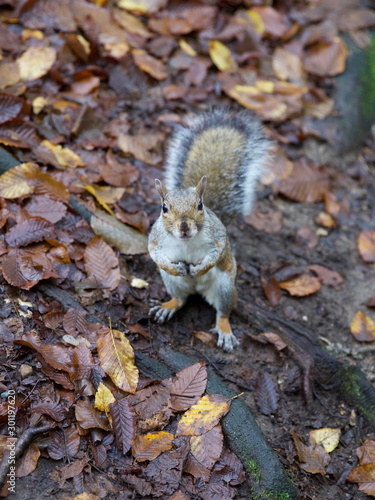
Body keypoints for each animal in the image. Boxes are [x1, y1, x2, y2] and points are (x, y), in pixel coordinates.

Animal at [148, 108, 272, 352]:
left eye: (199, 205)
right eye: (164, 208)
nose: (184, 227)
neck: (186, 241)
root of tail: (198, 290)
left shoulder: (218, 237)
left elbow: (217, 252)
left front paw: (201, 267)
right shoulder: (155, 238)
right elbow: (154, 254)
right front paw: (174, 266)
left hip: (225, 288)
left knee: (223, 312)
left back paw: (224, 330)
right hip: (172, 283)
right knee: (180, 298)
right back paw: (168, 305)